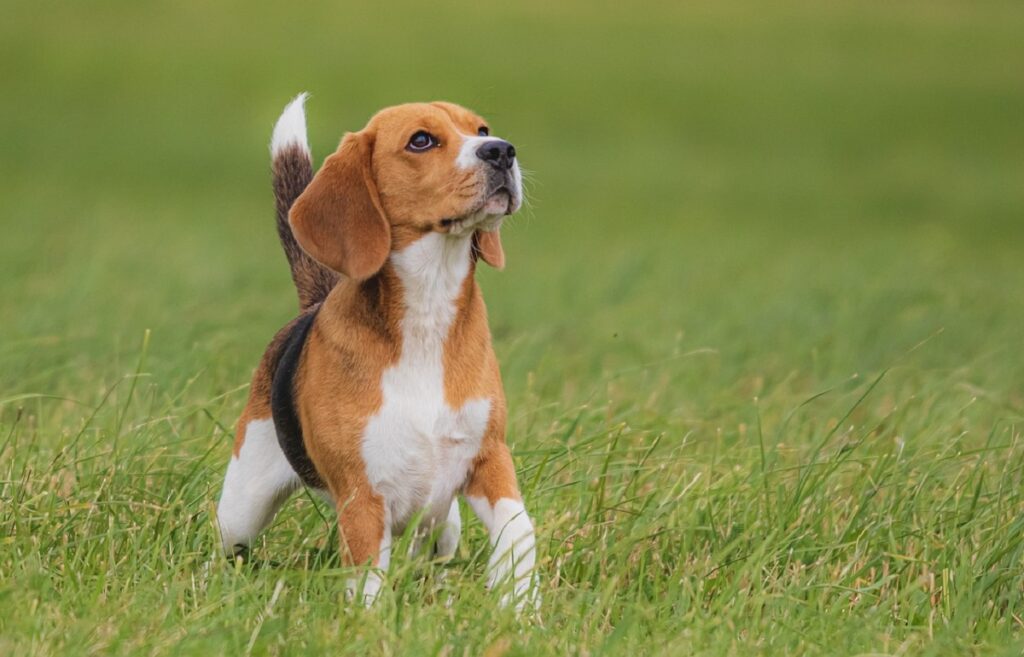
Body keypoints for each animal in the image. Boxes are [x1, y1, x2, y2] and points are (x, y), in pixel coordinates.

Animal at [212, 94, 540, 605]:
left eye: (482, 129)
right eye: (421, 140)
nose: (502, 151)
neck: (428, 307)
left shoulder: (488, 457)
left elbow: (519, 530)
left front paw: (517, 603)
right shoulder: (363, 496)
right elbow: (368, 579)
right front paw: (371, 619)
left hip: (442, 520)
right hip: (241, 508)